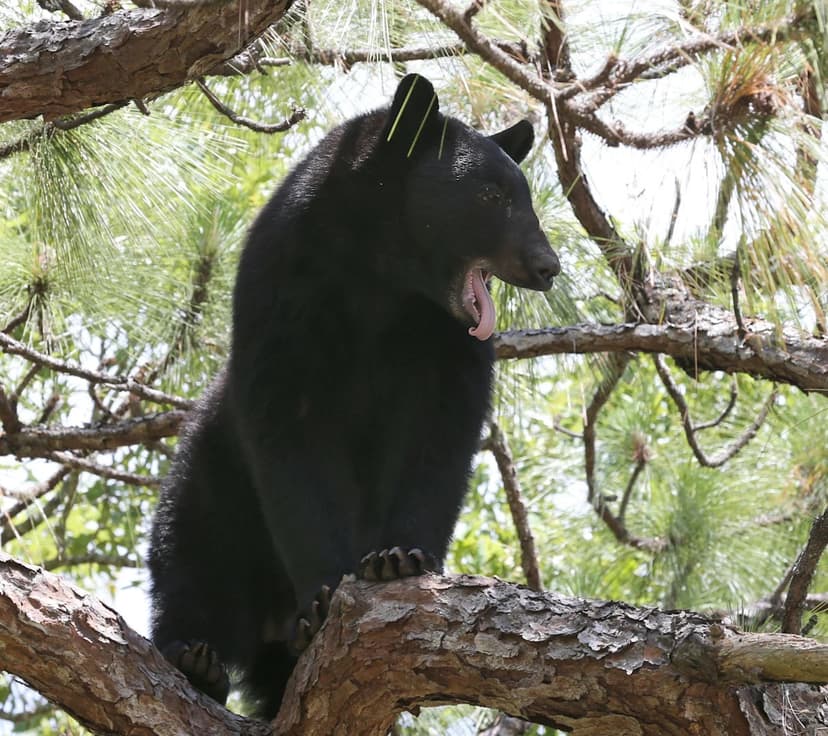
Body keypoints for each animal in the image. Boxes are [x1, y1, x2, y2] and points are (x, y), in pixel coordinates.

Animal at [147, 73, 560, 719]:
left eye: (528, 197)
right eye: (492, 196)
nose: (548, 266)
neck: (382, 276)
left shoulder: (447, 344)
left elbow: (439, 438)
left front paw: (399, 559)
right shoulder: (282, 292)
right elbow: (292, 435)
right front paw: (323, 598)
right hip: (211, 472)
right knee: (187, 548)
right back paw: (194, 657)